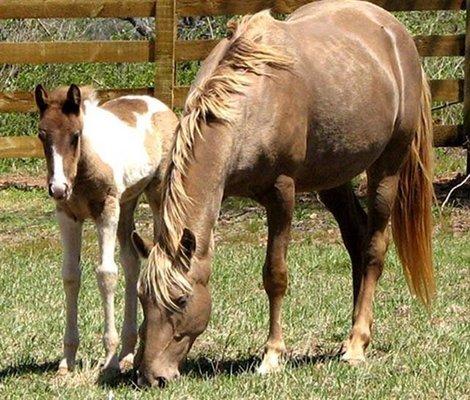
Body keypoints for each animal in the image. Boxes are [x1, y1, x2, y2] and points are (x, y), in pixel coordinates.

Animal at [34, 85, 178, 376]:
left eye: (75, 135)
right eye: (42, 134)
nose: (58, 187)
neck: (81, 171)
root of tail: (157, 103)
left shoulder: (106, 210)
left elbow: (106, 274)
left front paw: (109, 360)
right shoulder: (67, 215)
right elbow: (70, 276)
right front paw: (67, 360)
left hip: (156, 194)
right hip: (127, 203)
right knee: (132, 261)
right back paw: (128, 352)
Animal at [131, 0, 434, 388]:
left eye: (181, 300)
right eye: (142, 298)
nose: (152, 376)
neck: (252, 97)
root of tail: (395, 32)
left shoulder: (282, 193)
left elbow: (274, 275)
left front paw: (273, 355)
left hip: (387, 169)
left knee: (373, 248)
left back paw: (357, 343)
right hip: (332, 179)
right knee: (356, 239)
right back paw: (352, 334)